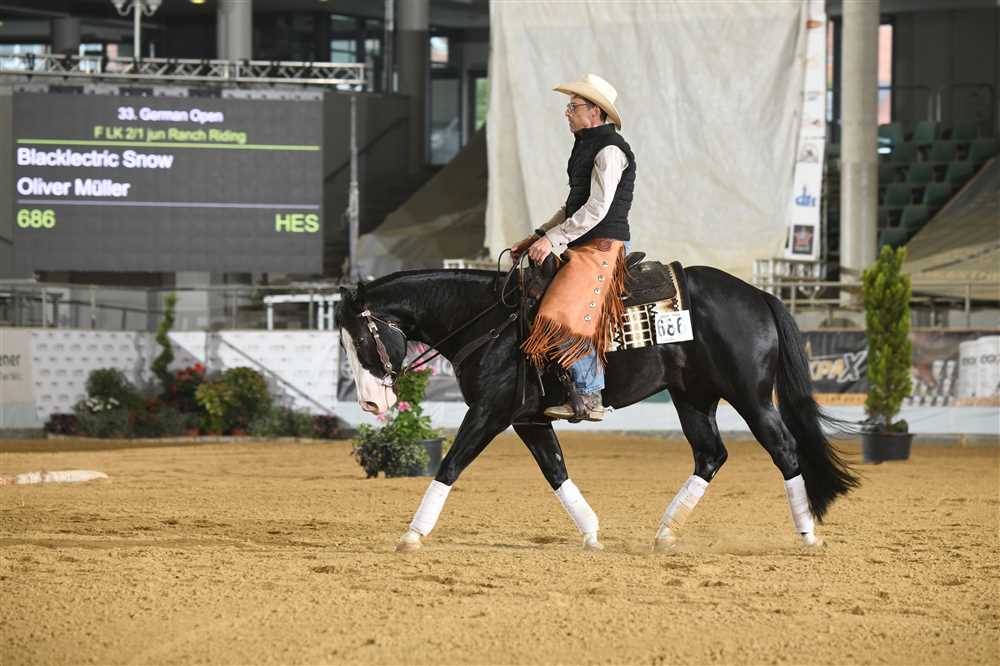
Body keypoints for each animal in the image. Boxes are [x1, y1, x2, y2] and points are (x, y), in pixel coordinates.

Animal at [334, 263, 858, 552]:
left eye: (359, 339)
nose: (369, 401)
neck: (490, 320)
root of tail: (759, 294)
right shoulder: (527, 419)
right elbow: (555, 470)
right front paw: (591, 533)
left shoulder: (489, 412)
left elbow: (449, 465)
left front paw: (412, 535)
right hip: (694, 397)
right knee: (711, 454)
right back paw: (665, 533)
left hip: (750, 395)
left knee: (785, 449)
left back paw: (808, 535)